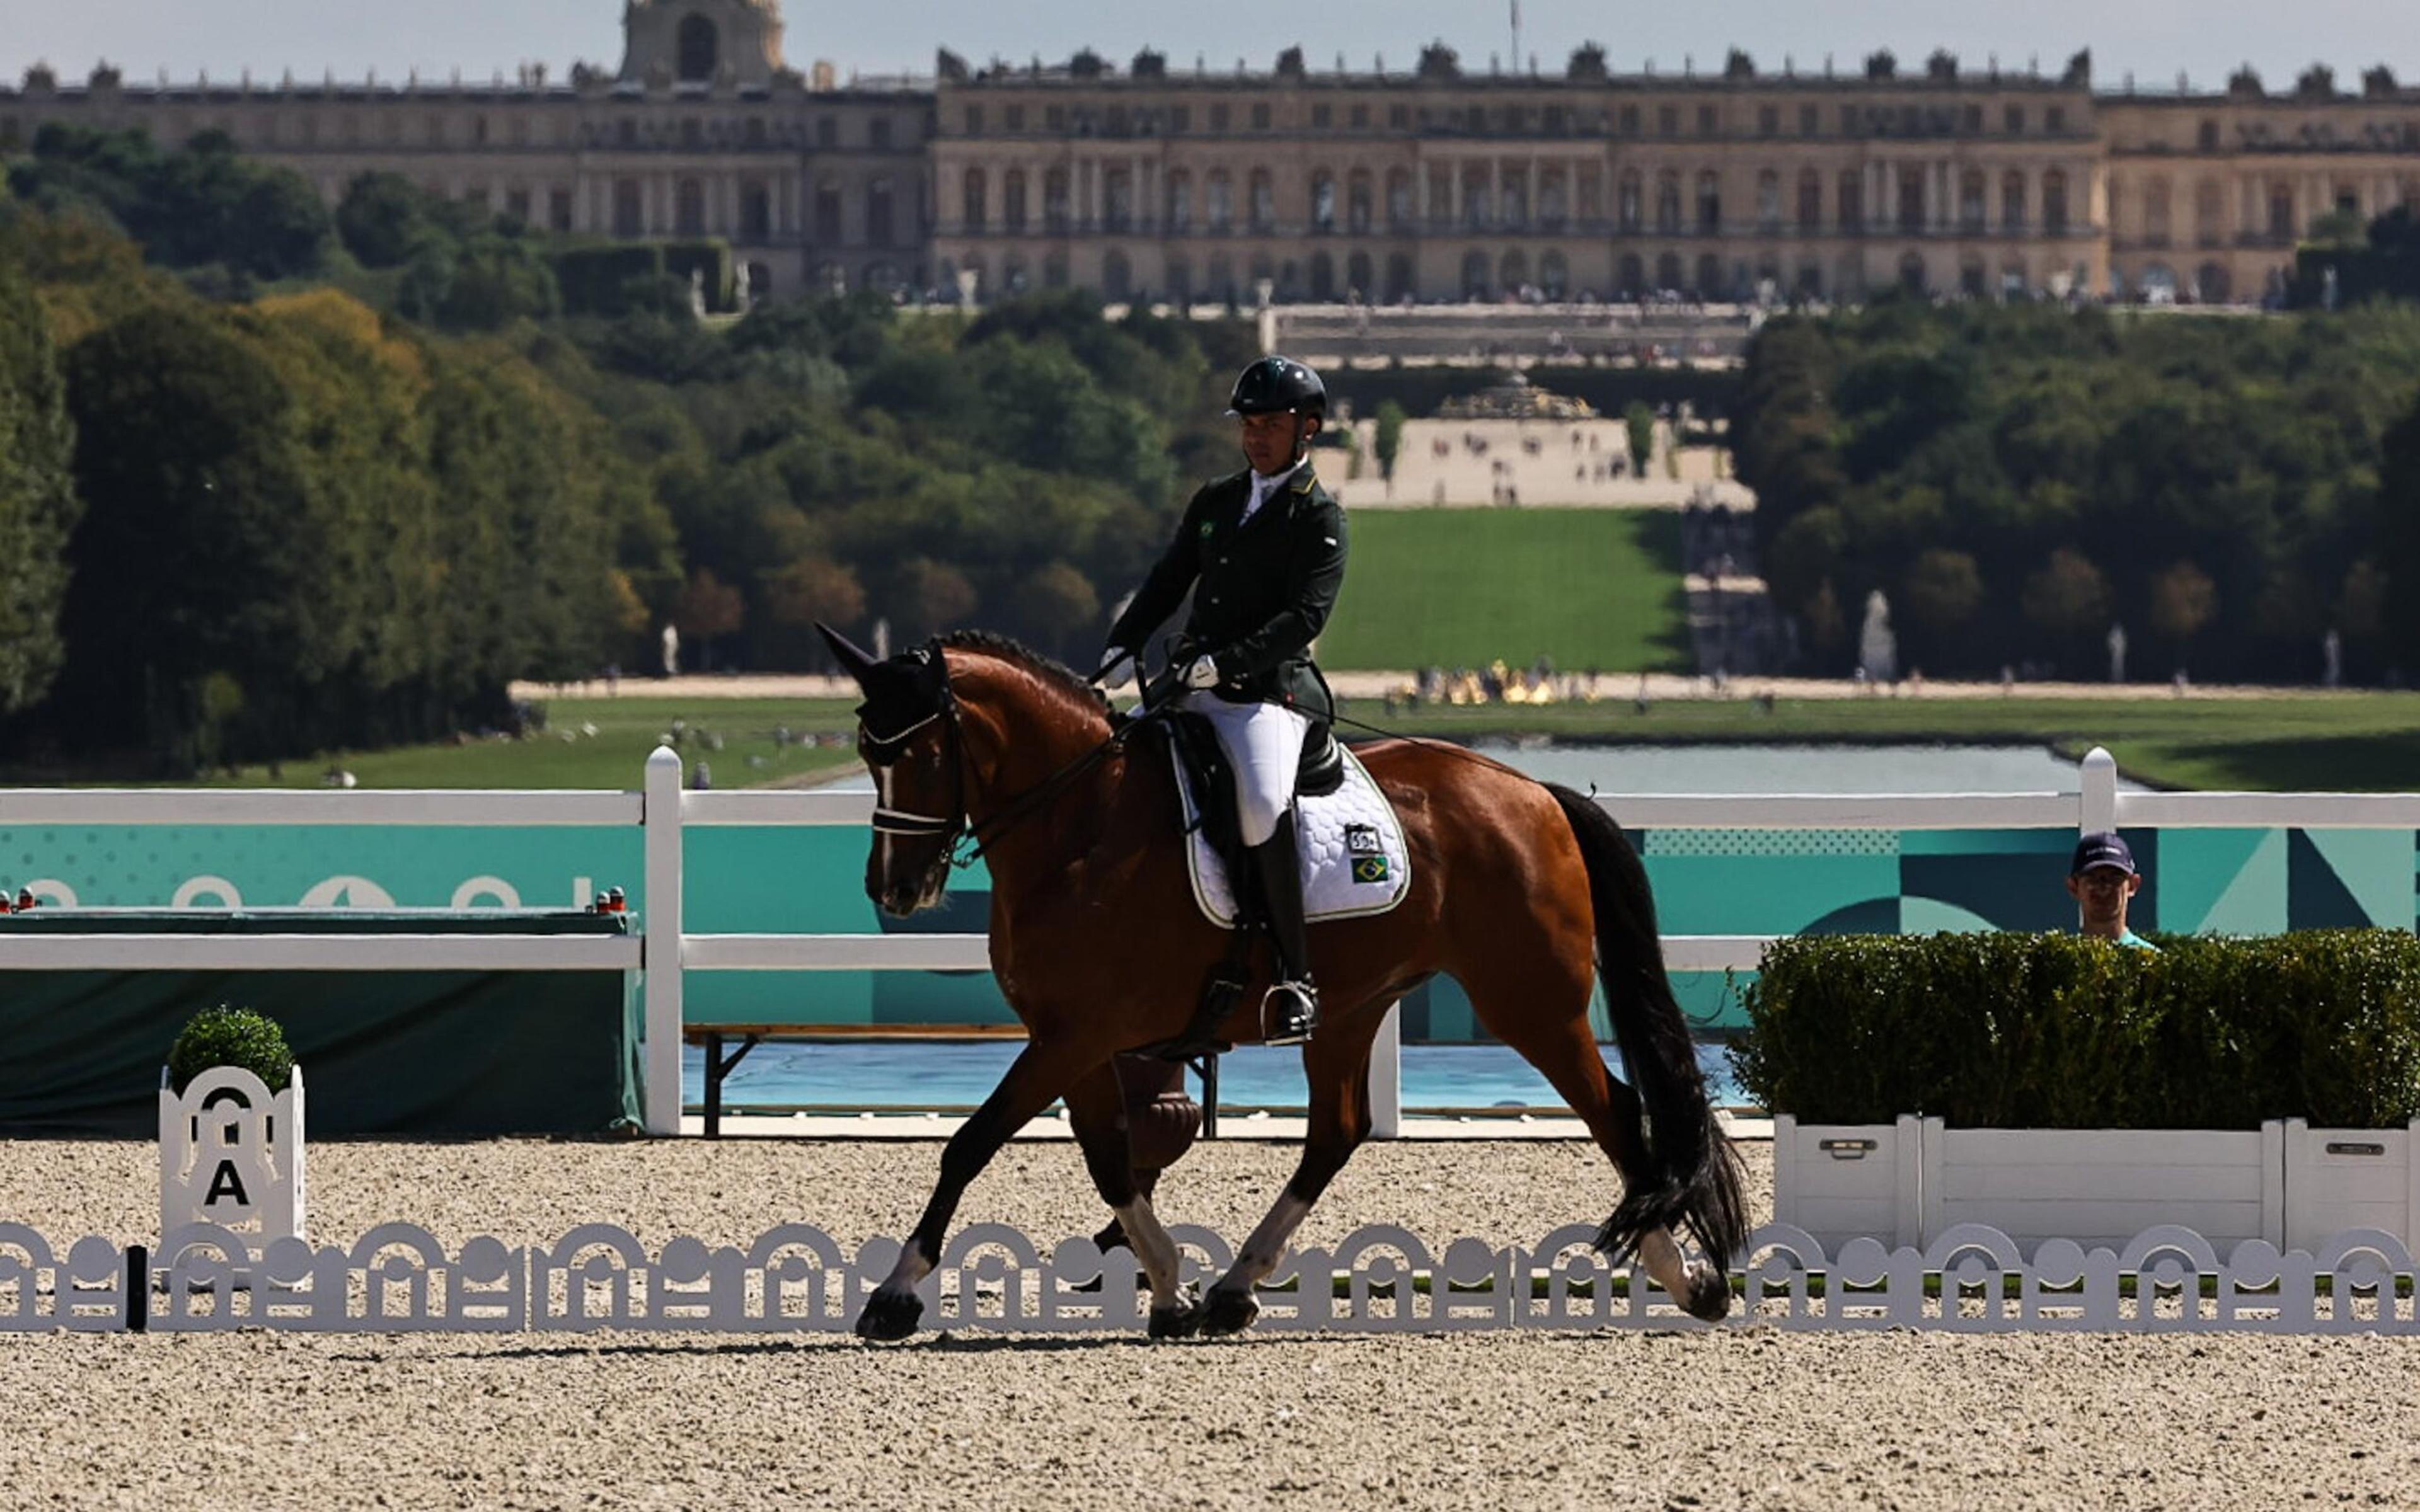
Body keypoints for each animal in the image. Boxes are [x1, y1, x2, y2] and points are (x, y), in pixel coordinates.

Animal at [813, 619, 1742, 1335]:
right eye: (865, 749)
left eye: (922, 750)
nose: (895, 889)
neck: (1081, 824)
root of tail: (1534, 793)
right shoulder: (1071, 1037)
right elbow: (1108, 1161)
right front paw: (1170, 1288)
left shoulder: (1075, 1035)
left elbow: (972, 1143)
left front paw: (895, 1295)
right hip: (1355, 1006)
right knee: (1336, 1132)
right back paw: (1233, 1287)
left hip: (1530, 1002)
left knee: (1614, 1109)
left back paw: (1688, 1277)